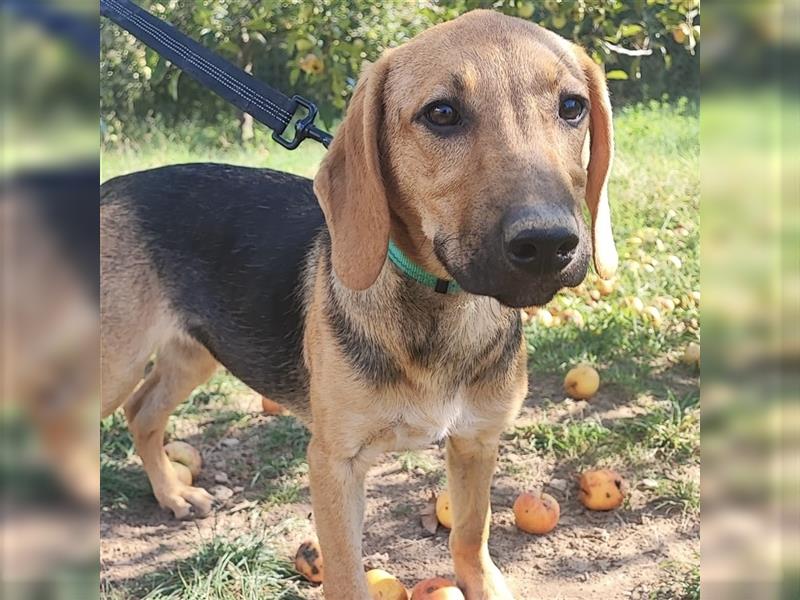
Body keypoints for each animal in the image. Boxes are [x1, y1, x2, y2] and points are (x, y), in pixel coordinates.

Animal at [100, 10, 620, 600]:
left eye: (572, 106)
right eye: (442, 113)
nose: (548, 244)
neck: (443, 311)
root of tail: (110, 188)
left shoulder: (476, 441)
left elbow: (469, 539)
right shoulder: (335, 462)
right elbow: (347, 574)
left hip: (197, 349)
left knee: (143, 411)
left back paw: (173, 495)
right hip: (114, 362)